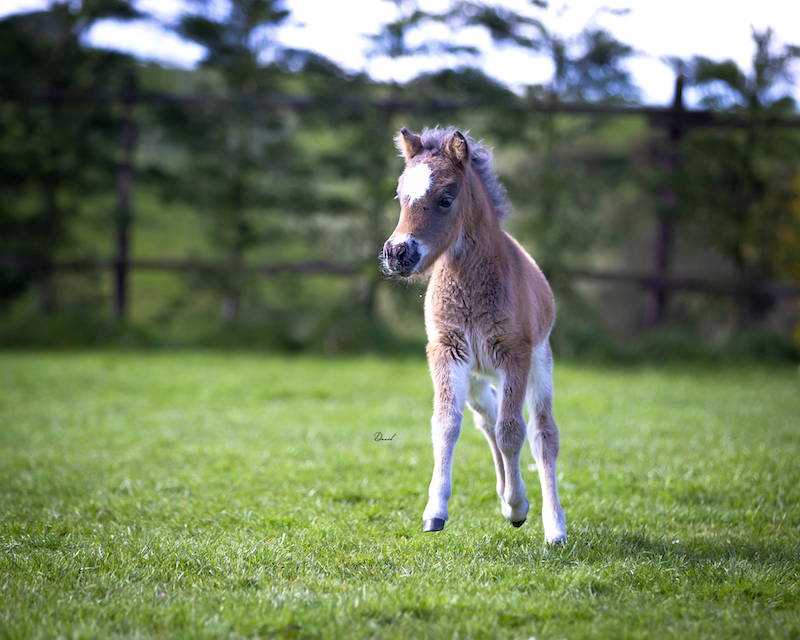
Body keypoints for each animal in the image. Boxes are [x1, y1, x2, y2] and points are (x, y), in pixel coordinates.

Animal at [381, 126, 568, 544]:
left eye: (445, 199)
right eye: (401, 196)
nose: (398, 253)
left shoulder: (515, 353)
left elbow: (513, 431)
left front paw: (518, 507)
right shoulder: (447, 351)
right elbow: (446, 425)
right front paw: (435, 511)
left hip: (540, 360)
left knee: (541, 433)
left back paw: (553, 526)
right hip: (479, 376)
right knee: (489, 415)